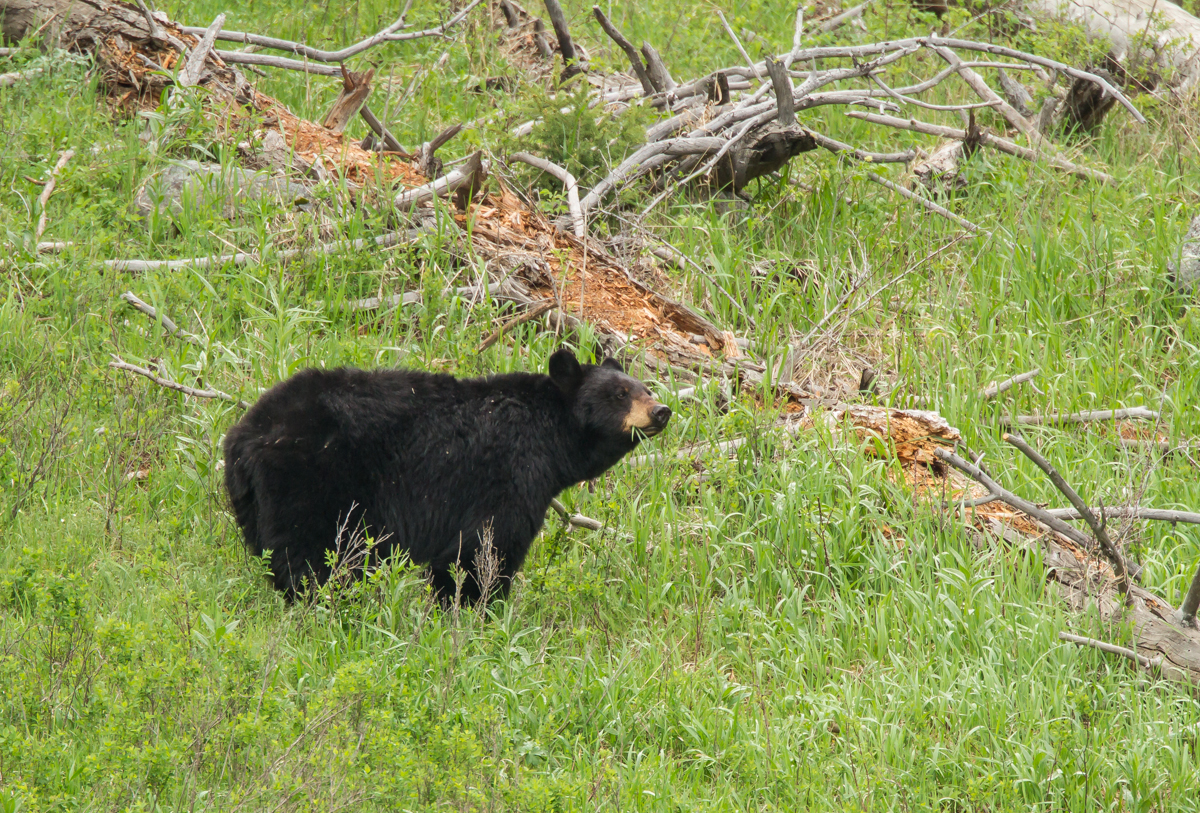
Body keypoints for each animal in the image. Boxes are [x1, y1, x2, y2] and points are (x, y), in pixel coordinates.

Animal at [222, 348, 671, 604]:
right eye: (620, 394)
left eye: (645, 388)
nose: (662, 410)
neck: (550, 435)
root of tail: (246, 437)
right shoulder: (508, 474)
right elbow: (485, 548)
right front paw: (478, 610)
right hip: (312, 482)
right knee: (313, 557)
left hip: (253, 502)